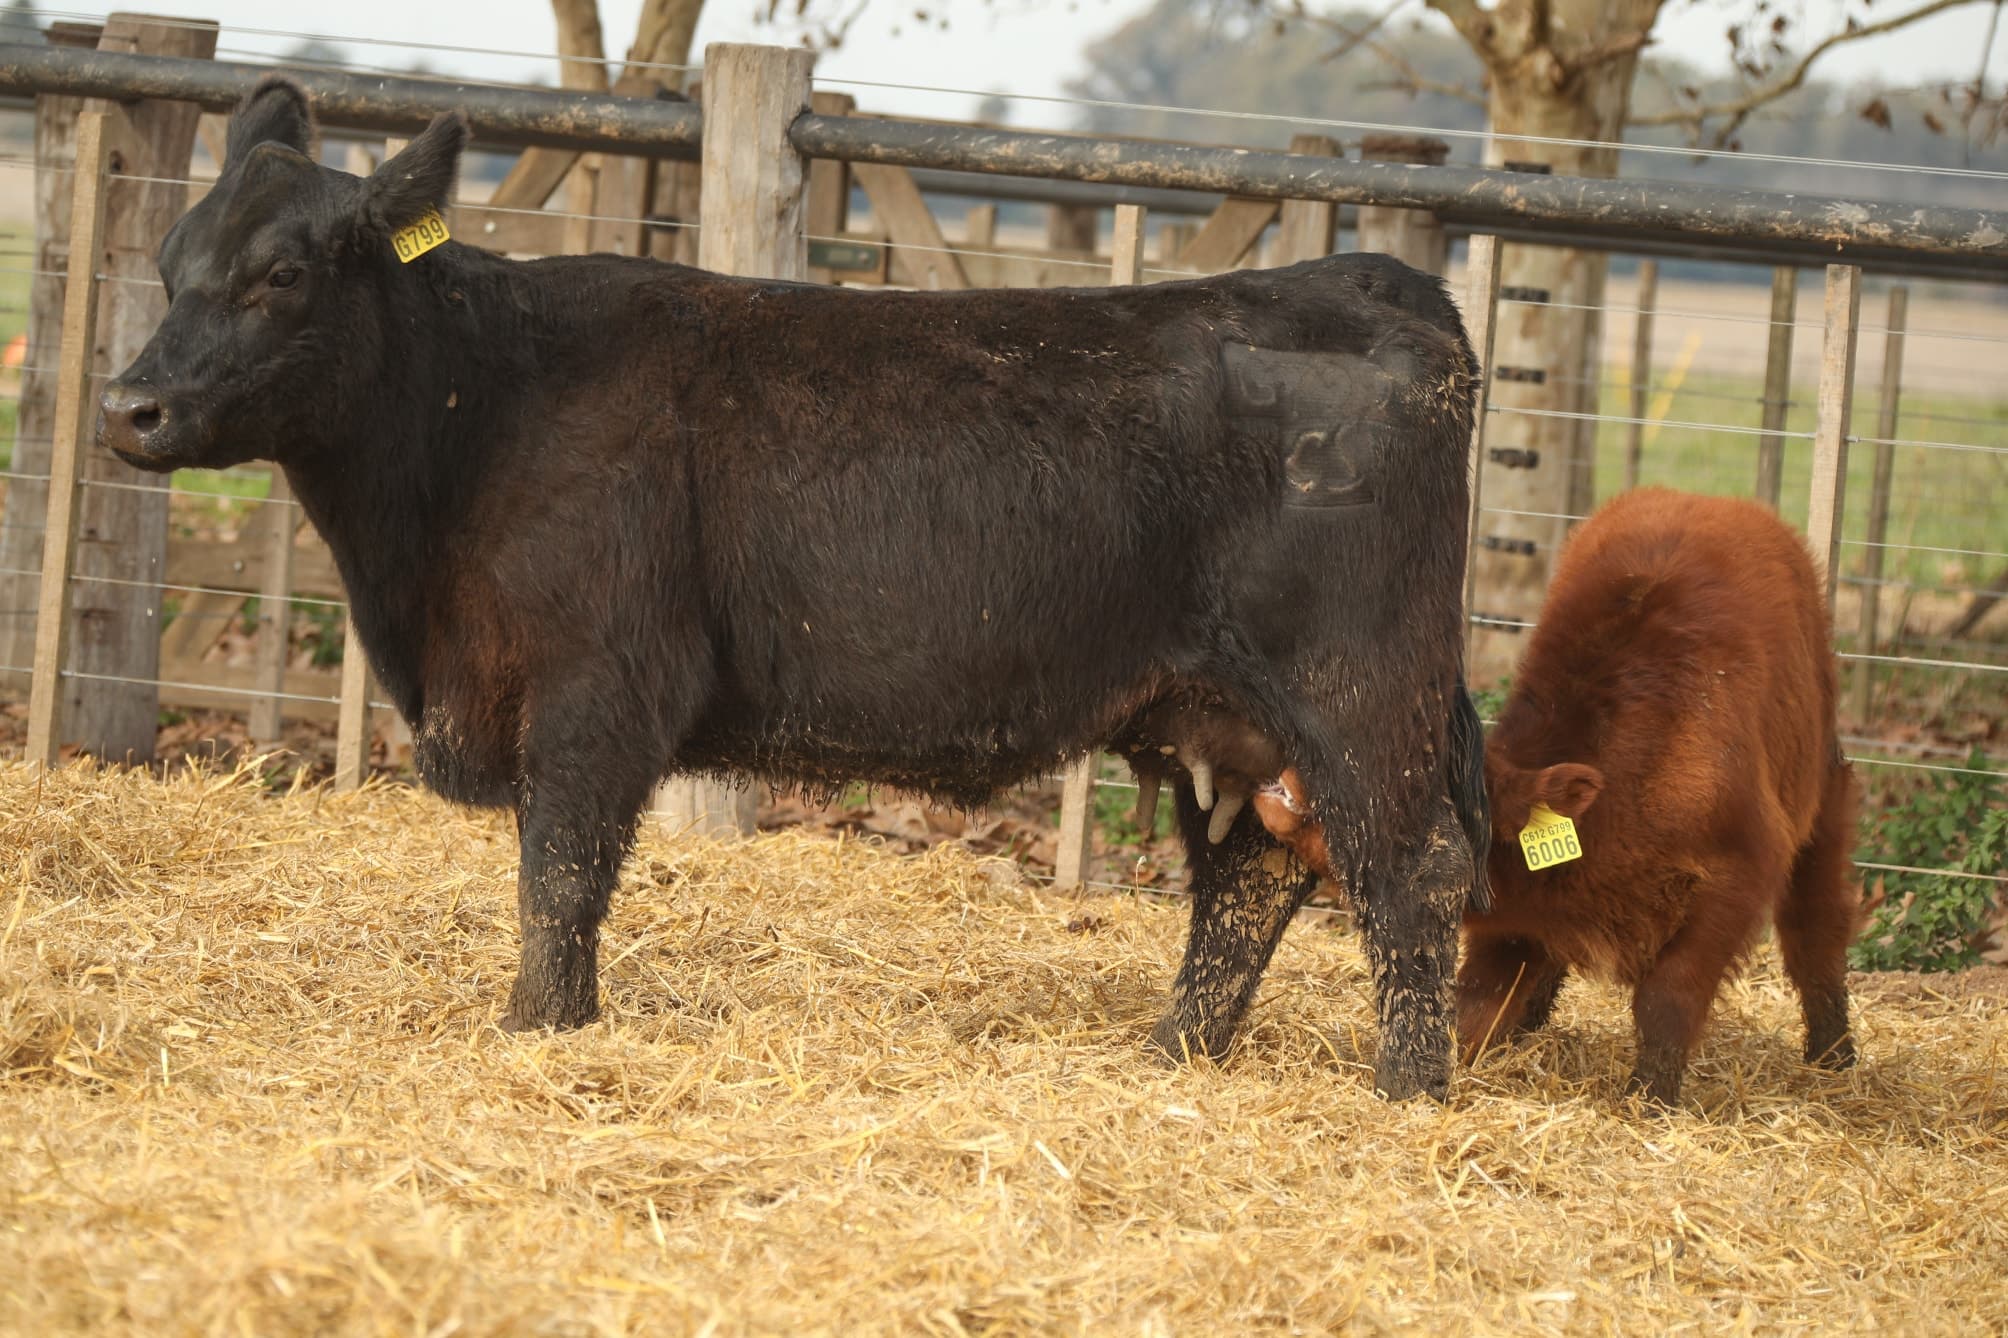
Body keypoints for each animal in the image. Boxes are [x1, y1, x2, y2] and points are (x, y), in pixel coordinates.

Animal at [96, 80, 1489, 1100]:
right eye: (168, 260)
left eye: (281, 274)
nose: (128, 406)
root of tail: (1369, 281)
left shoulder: (597, 689)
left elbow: (559, 876)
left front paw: (536, 1031)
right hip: (1229, 715)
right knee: (1254, 877)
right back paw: (1168, 1061)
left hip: (1360, 692)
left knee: (1412, 874)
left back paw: (1405, 1094)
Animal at [1257, 487, 1862, 1105]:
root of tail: (1708, 499)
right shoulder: (1514, 926)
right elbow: (1479, 1002)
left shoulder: (1734, 878)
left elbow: (1669, 996)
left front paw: (1650, 1097)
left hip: (1824, 793)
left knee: (1817, 925)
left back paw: (1834, 1054)